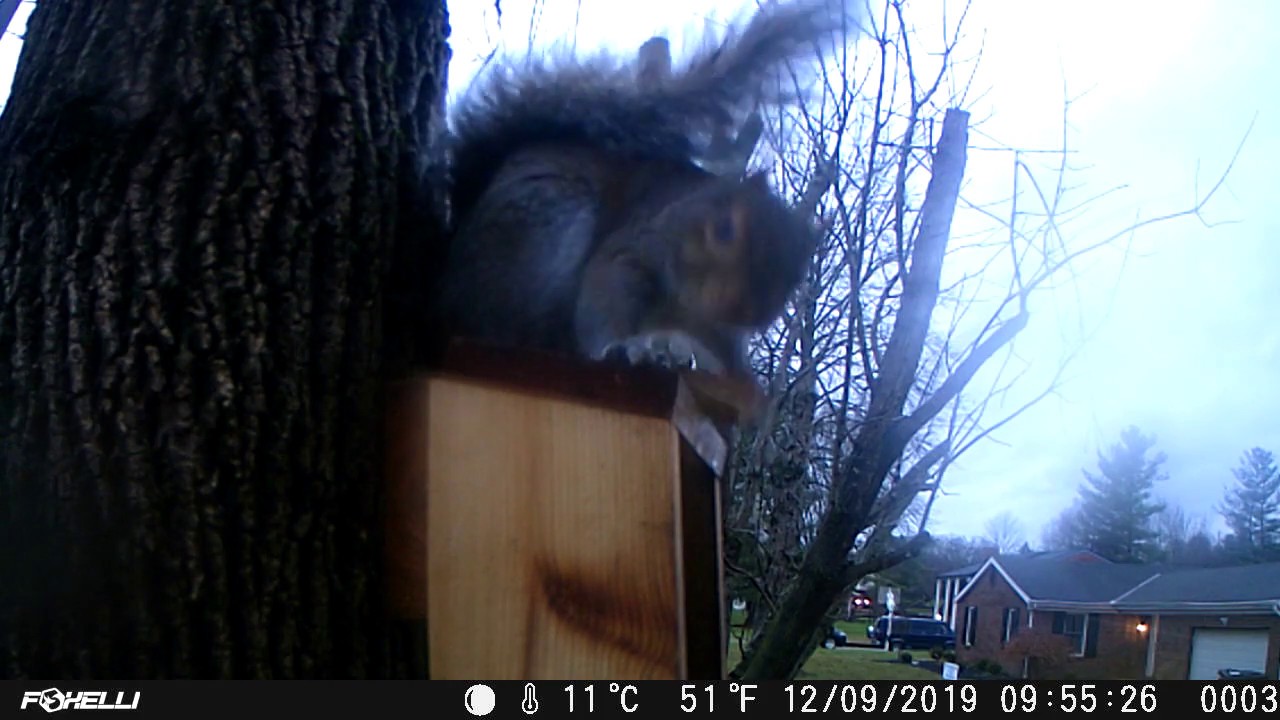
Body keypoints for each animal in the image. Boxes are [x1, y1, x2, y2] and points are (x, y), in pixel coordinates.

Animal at [432, 0, 851, 400]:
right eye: (723, 230)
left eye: (798, 271)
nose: (746, 310)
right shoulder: (631, 252)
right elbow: (602, 302)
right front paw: (622, 347)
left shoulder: (713, 326)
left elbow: (725, 351)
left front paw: (748, 390)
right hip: (544, 231)